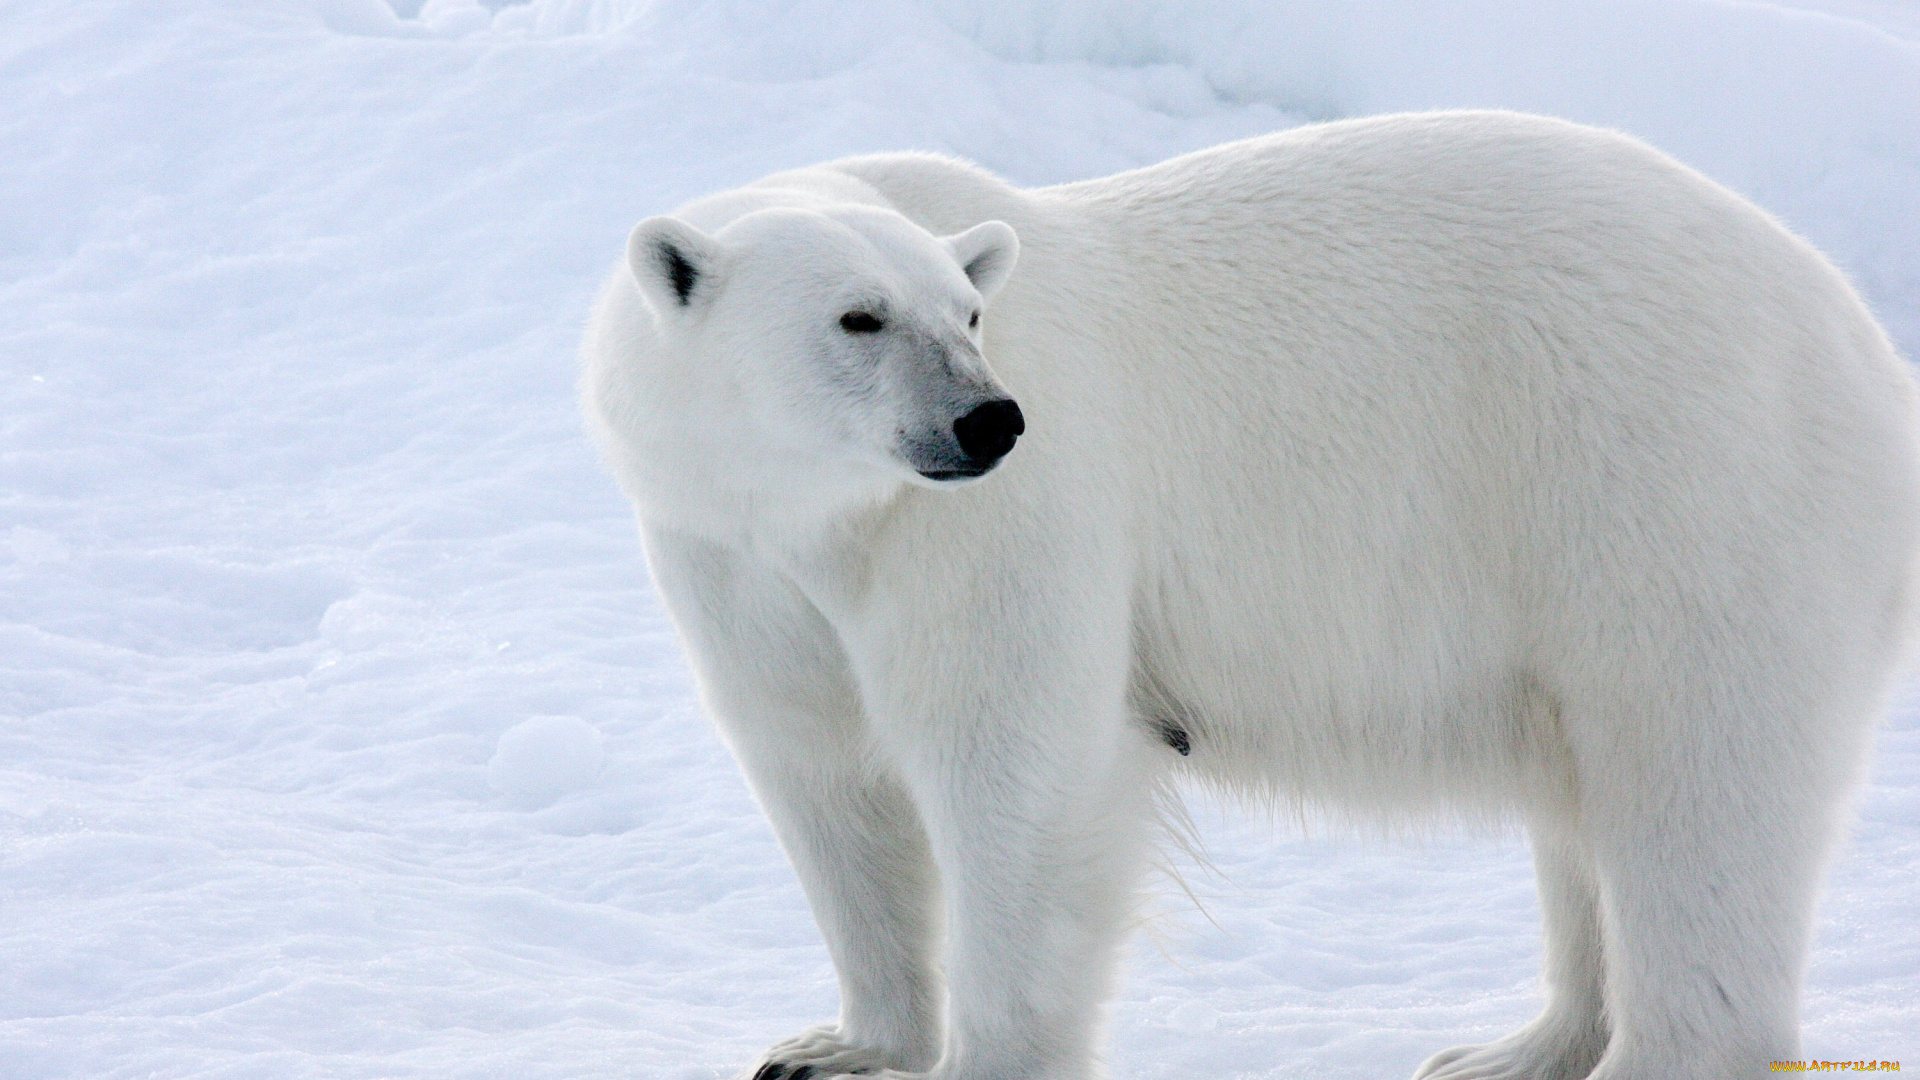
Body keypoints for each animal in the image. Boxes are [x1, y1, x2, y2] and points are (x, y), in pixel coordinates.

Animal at [579, 111, 1920, 1076]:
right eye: (859, 317)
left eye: (968, 313)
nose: (989, 418)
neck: (831, 511)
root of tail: (1864, 345)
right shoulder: (733, 550)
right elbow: (822, 773)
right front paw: (836, 1047)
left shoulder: (1002, 526)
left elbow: (1012, 767)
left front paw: (983, 1057)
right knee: (1587, 797)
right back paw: (1513, 1050)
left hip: (1680, 496)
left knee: (1696, 792)